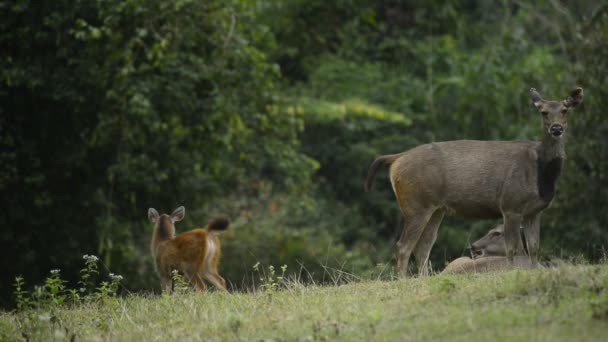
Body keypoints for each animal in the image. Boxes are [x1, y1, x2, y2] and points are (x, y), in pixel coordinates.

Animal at [366, 87, 584, 276]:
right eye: (543, 112)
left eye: (565, 110)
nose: (557, 128)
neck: (541, 174)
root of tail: (397, 159)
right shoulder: (511, 204)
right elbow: (512, 249)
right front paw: (512, 273)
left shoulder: (534, 211)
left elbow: (534, 248)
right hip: (416, 203)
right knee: (403, 246)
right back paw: (403, 280)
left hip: (436, 208)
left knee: (423, 247)